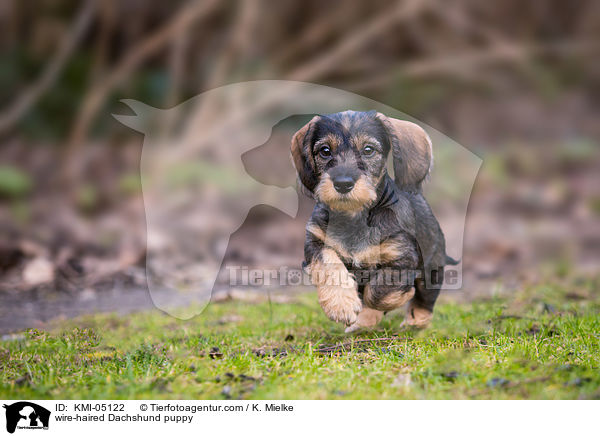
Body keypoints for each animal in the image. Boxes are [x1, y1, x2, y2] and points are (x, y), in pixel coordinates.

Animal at [290, 110, 454, 332]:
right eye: (325, 151)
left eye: (368, 150)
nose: (343, 184)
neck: (354, 217)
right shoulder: (315, 243)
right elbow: (329, 265)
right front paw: (340, 304)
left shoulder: (402, 258)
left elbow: (378, 293)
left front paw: (375, 311)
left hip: (432, 267)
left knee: (425, 300)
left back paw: (414, 321)